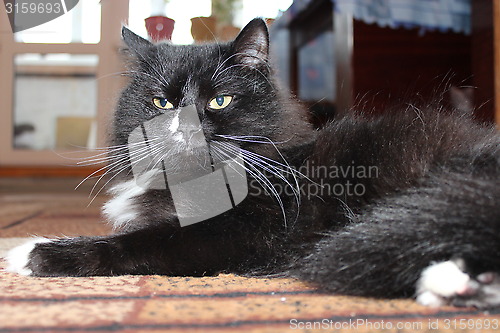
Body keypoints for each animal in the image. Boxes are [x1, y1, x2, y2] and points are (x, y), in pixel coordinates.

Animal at [4, 18, 500, 308]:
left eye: (218, 101)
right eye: (162, 103)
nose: (184, 126)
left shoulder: (242, 232)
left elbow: (138, 243)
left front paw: (35, 252)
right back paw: (457, 285)